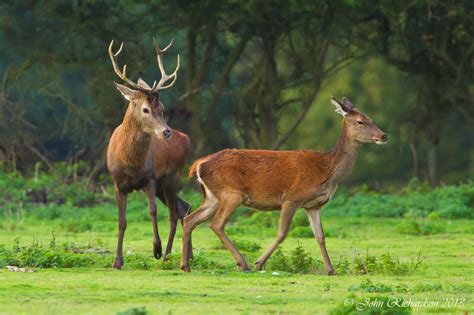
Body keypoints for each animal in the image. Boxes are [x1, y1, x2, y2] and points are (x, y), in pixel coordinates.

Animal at [106, 37, 190, 270]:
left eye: (162, 107)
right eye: (145, 109)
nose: (166, 131)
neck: (131, 164)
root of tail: (186, 138)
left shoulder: (150, 178)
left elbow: (152, 211)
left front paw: (156, 249)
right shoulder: (117, 182)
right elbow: (121, 221)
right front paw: (117, 261)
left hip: (172, 176)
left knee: (174, 213)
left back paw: (169, 254)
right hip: (164, 184)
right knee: (183, 207)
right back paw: (186, 256)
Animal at [180, 97, 386, 276]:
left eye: (371, 119)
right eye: (360, 122)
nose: (384, 135)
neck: (327, 172)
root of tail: (197, 165)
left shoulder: (314, 205)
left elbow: (320, 236)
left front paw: (331, 270)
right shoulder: (291, 198)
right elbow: (282, 233)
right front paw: (259, 263)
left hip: (213, 197)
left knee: (190, 219)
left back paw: (185, 265)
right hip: (232, 193)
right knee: (216, 224)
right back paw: (243, 263)